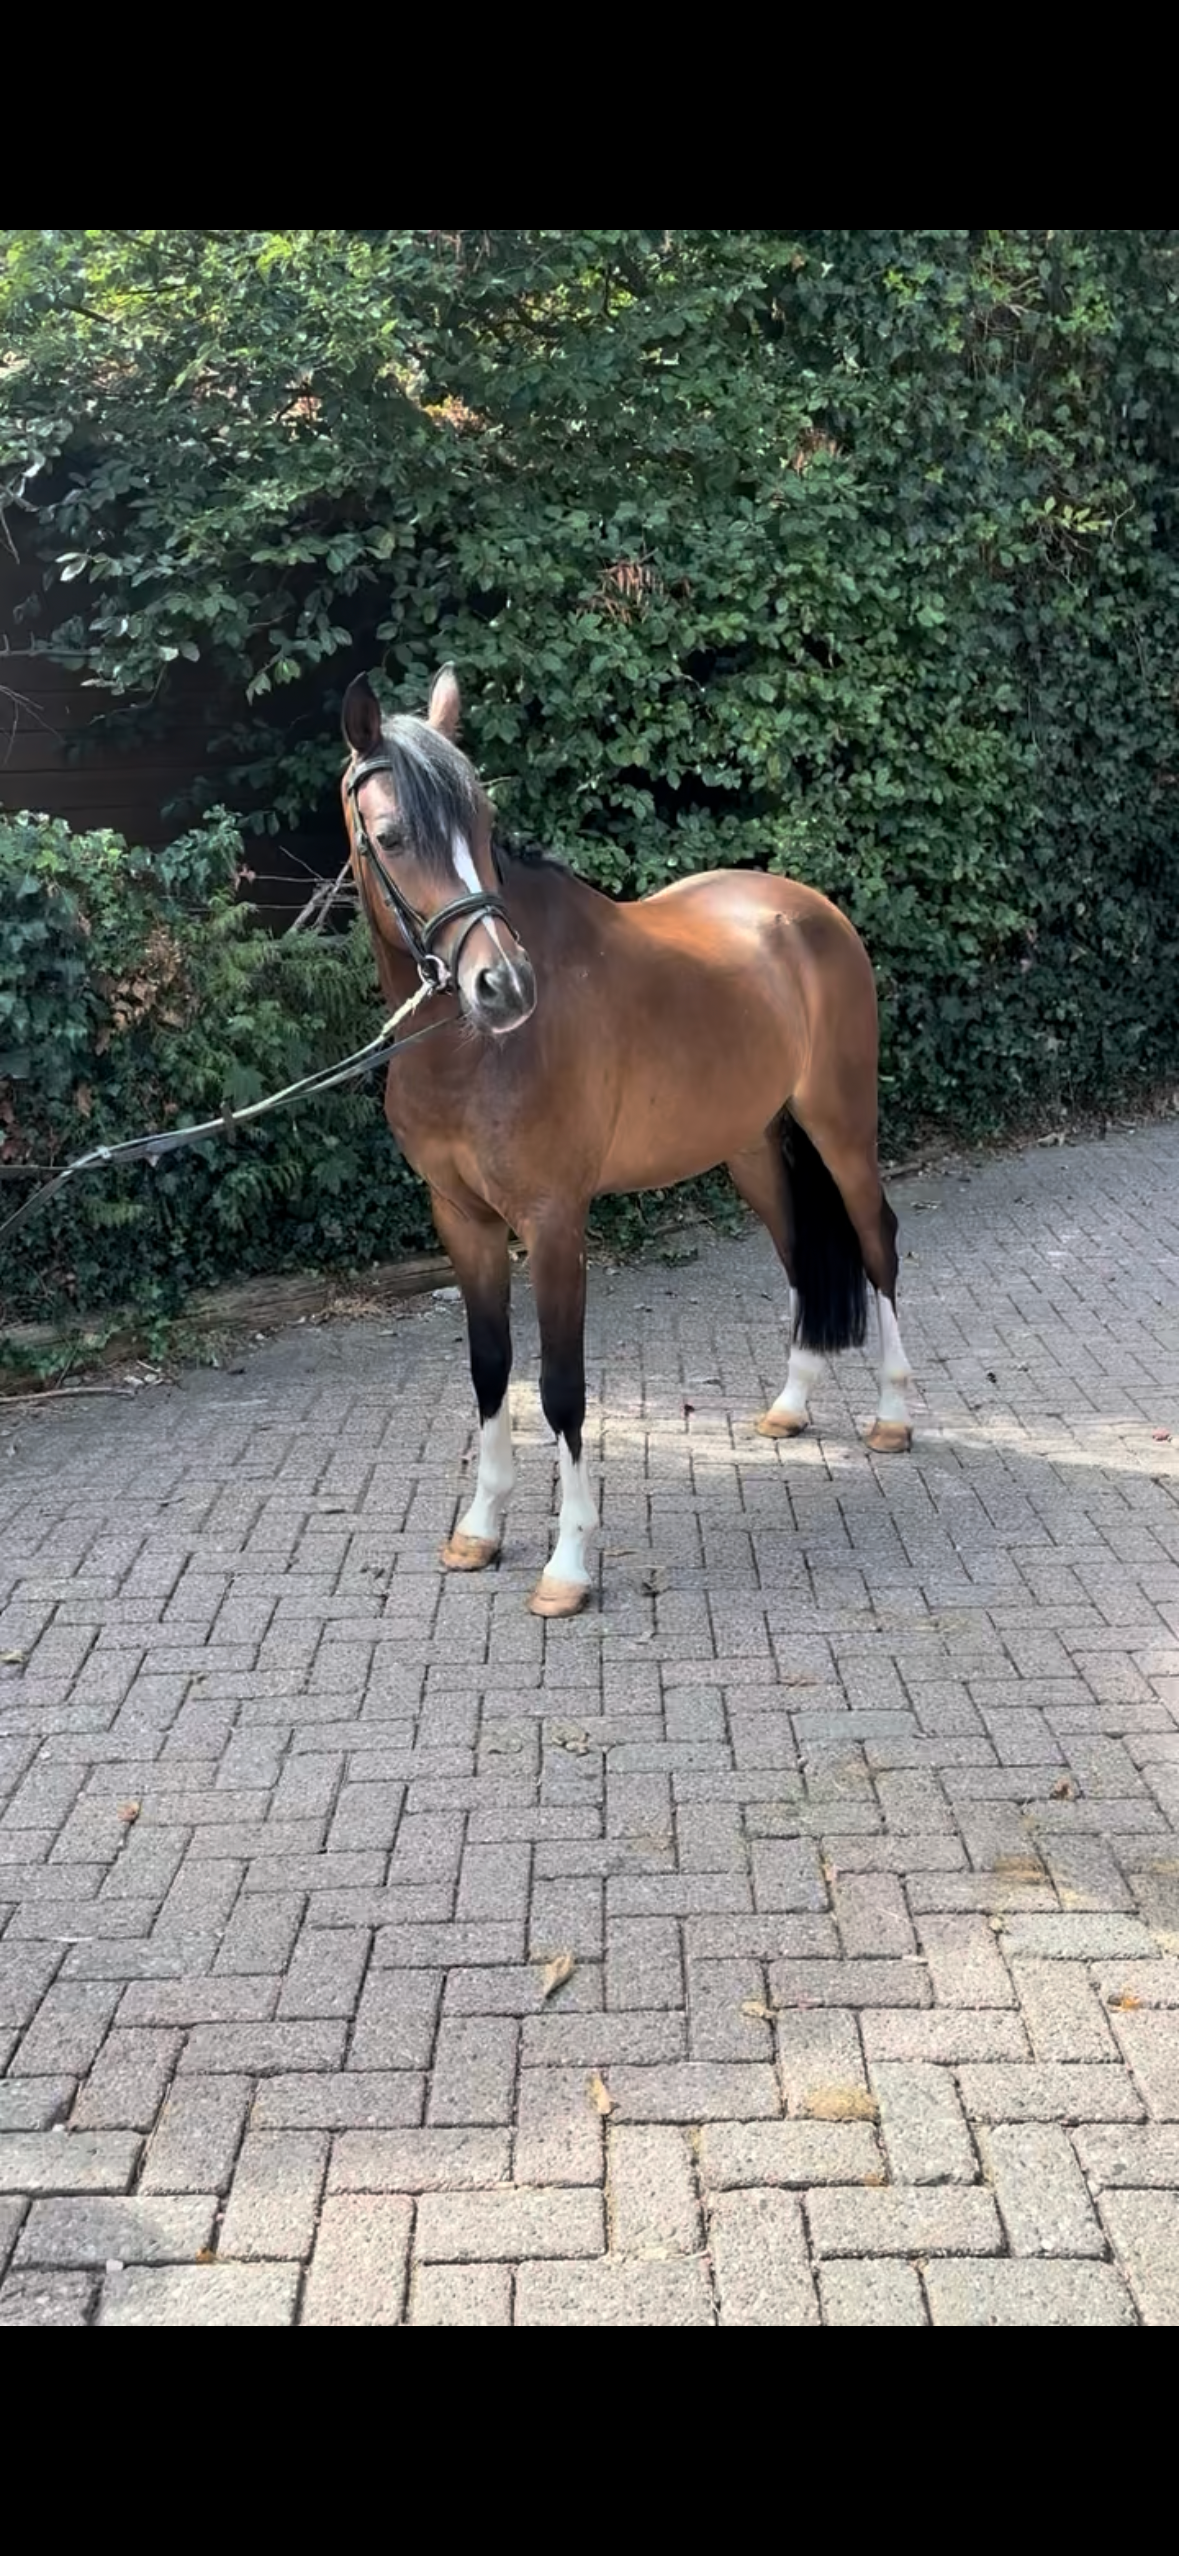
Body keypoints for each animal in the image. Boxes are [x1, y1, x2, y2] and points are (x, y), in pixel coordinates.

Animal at [340, 667, 915, 1618]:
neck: (473, 1050)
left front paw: (568, 1565)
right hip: (750, 1150)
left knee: (875, 1245)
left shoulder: (554, 1221)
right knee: (801, 1255)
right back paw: (790, 1405)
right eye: (389, 836)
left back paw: (895, 1415)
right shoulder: (461, 1219)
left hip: (841, 1128)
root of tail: (808, 909)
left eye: (484, 829)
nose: (503, 986)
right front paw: (480, 1530)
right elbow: (491, 1371)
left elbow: (562, 1391)